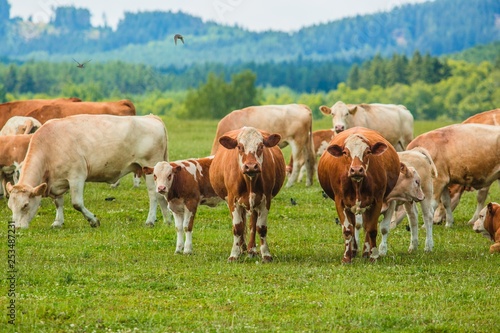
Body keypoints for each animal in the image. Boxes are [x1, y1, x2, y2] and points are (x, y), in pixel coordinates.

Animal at [6, 114, 170, 228]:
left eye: (25, 205)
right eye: (10, 206)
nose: (18, 228)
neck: (49, 146)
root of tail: (150, 117)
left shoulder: (76, 176)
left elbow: (77, 203)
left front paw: (93, 221)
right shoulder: (55, 181)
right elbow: (58, 202)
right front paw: (58, 222)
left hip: (150, 166)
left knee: (154, 195)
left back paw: (150, 221)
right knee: (161, 196)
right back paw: (166, 220)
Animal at [208, 126, 286, 262]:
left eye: (261, 146)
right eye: (240, 146)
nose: (251, 166)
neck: (250, 180)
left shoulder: (265, 200)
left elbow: (261, 228)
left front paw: (266, 254)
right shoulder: (233, 201)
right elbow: (238, 227)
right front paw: (234, 254)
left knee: (252, 224)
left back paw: (251, 249)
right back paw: (242, 248)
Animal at [318, 125, 400, 262]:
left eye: (367, 152)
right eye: (345, 152)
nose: (356, 170)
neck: (357, 184)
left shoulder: (377, 201)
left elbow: (371, 229)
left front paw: (373, 256)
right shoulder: (340, 202)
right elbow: (347, 230)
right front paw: (346, 258)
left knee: (367, 226)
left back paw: (366, 253)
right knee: (354, 225)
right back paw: (353, 251)